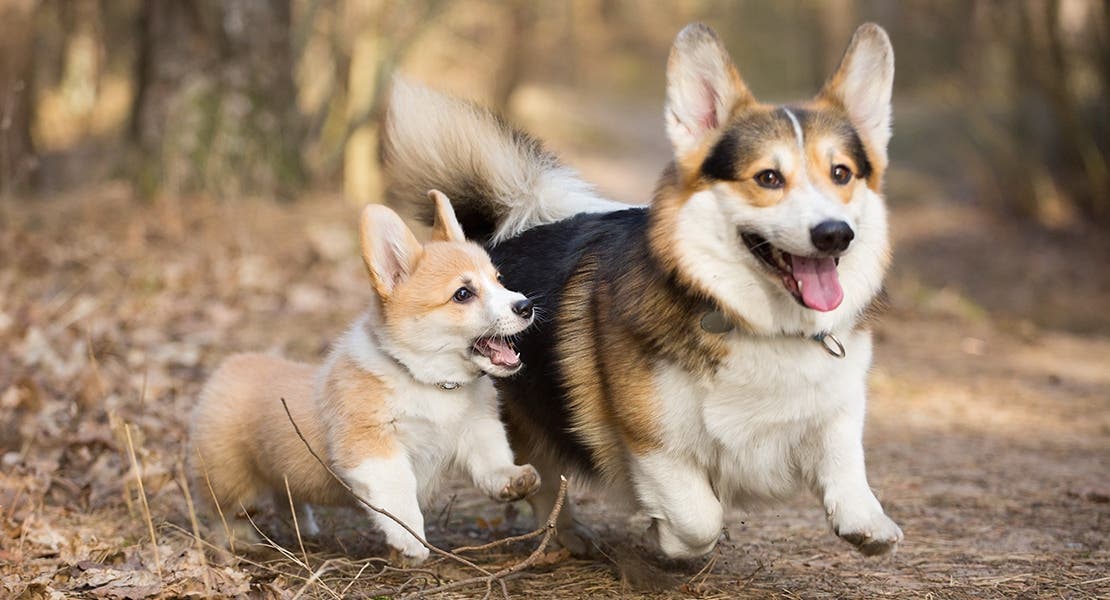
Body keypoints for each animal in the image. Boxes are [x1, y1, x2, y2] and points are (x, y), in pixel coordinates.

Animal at [193, 190, 543, 561]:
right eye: (463, 294)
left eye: (498, 280)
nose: (526, 306)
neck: (431, 381)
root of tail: (230, 365)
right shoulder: (372, 446)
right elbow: (399, 495)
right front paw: (411, 541)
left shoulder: (477, 429)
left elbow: (492, 462)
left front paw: (514, 479)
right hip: (226, 476)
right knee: (224, 511)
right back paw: (240, 540)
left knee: (286, 496)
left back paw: (304, 527)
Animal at [381, 22, 901, 556]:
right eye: (769, 178)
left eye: (841, 173)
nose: (835, 234)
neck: (760, 323)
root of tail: (497, 236)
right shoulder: (653, 442)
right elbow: (699, 518)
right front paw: (665, 537)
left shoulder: (840, 404)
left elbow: (844, 457)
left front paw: (865, 523)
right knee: (541, 475)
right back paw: (568, 535)